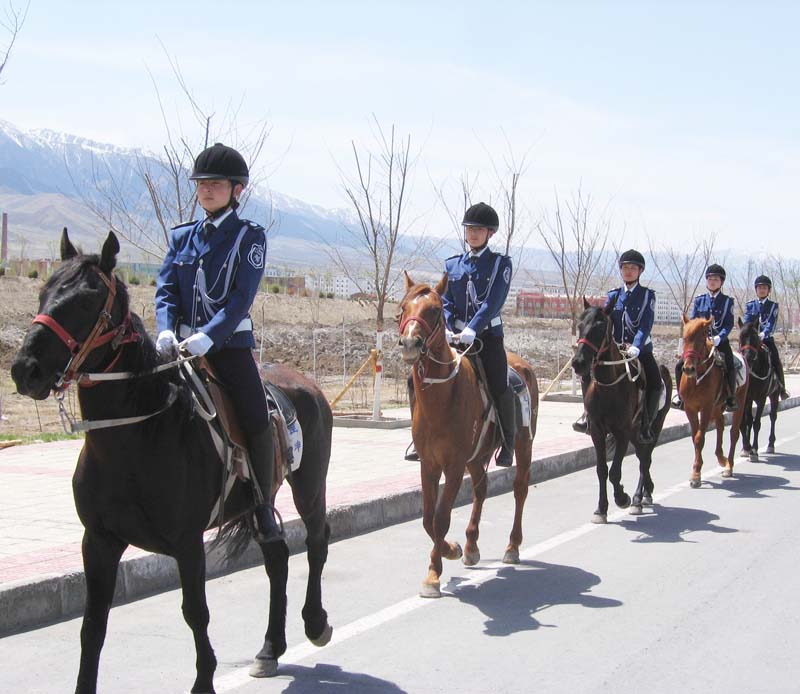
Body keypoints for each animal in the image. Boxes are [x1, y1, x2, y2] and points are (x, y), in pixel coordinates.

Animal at [10, 232, 332, 694]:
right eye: (44, 291)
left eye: (88, 300)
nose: (25, 370)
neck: (134, 437)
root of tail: (307, 384)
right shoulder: (98, 540)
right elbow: (92, 626)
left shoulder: (186, 542)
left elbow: (195, 612)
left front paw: (204, 681)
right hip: (262, 503)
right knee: (277, 557)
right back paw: (269, 649)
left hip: (309, 486)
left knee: (317, 542)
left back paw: (316, 624)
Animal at [398, 274, 540, 600]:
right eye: (402, 307)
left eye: (435, 310)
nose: (410, 343)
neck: (441, 397)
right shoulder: (428, 464)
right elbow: (427, 518)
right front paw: (452, 549)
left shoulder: (452, 466)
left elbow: (440, 518)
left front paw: (434, 573)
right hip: (476, 458)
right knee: (481, 488)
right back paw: (472, 545)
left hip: (523, 445)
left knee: (520, 489)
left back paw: (513, 546)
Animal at [572, 298, 672, 520]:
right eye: (580, 325)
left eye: (600, 327)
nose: (578, 363)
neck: (608, 386)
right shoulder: (597, 432)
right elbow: (602, 470)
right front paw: (601, 509)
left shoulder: (622, 432)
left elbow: (615, 471)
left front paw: (622, 498)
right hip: (635, 431)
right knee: (642, 456)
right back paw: (646, 492)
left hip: (652, 427)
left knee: (645, 458)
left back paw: (637, 498)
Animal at [680, 316, 748, 490]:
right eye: (685, 338)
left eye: (701, 339)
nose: (688, 369)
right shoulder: (690, 408)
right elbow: (695, 437)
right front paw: (697, 471)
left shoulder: (706, 407)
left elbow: (699, 438)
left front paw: (696, 475)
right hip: (717, 407)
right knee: (720, 425)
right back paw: (721, 458)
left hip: (739, 401)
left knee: (734, 433)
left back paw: (729, 465)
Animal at [740, 320, 780, 462]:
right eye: (741, 338)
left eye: (755, 338)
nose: (747, 357)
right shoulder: (746, 398)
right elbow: (745, 422)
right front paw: (746, 447)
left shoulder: (762, 398)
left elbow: (756, 423)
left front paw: (754, 450)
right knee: (749, 420)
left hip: (774, 395)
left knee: (773, 416)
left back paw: (771, 444)